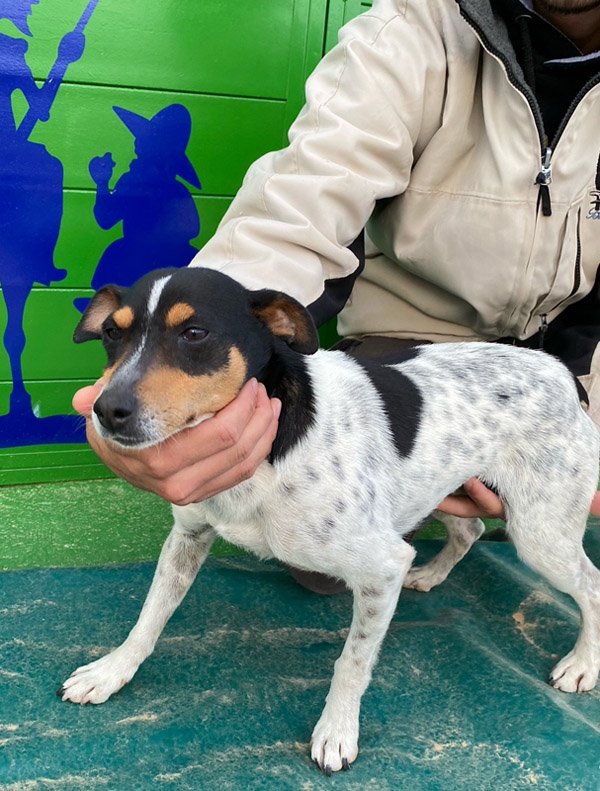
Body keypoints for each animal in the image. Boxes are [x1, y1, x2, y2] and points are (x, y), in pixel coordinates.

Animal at [59, 266, 600, 774]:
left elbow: (352, 661)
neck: (272, 445)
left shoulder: (384, 566)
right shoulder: (189, 535)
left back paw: (581, 664)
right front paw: (112, 672)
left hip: (540, 533)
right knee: (470, 529)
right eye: (112, 333)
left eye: (194, 333)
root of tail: (561, 371)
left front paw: (337, 731)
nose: (107, 410)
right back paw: (431, 574)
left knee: (590, 584)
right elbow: (149, 616)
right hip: (442, 487)